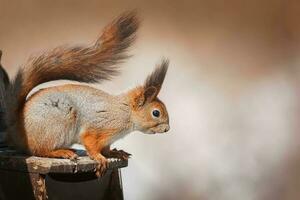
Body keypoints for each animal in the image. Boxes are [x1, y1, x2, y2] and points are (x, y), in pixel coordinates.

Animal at [2, 10, 170, 175]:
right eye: (156, 113)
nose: (167, 129)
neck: (125, 112)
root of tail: (16, 128)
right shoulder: (98, 127)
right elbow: (90, 143)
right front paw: (99, 158)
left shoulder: (107, 140)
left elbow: (106, 149)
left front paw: (115, 152)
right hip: (56, 124)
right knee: (39, 150)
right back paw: (61, 152)